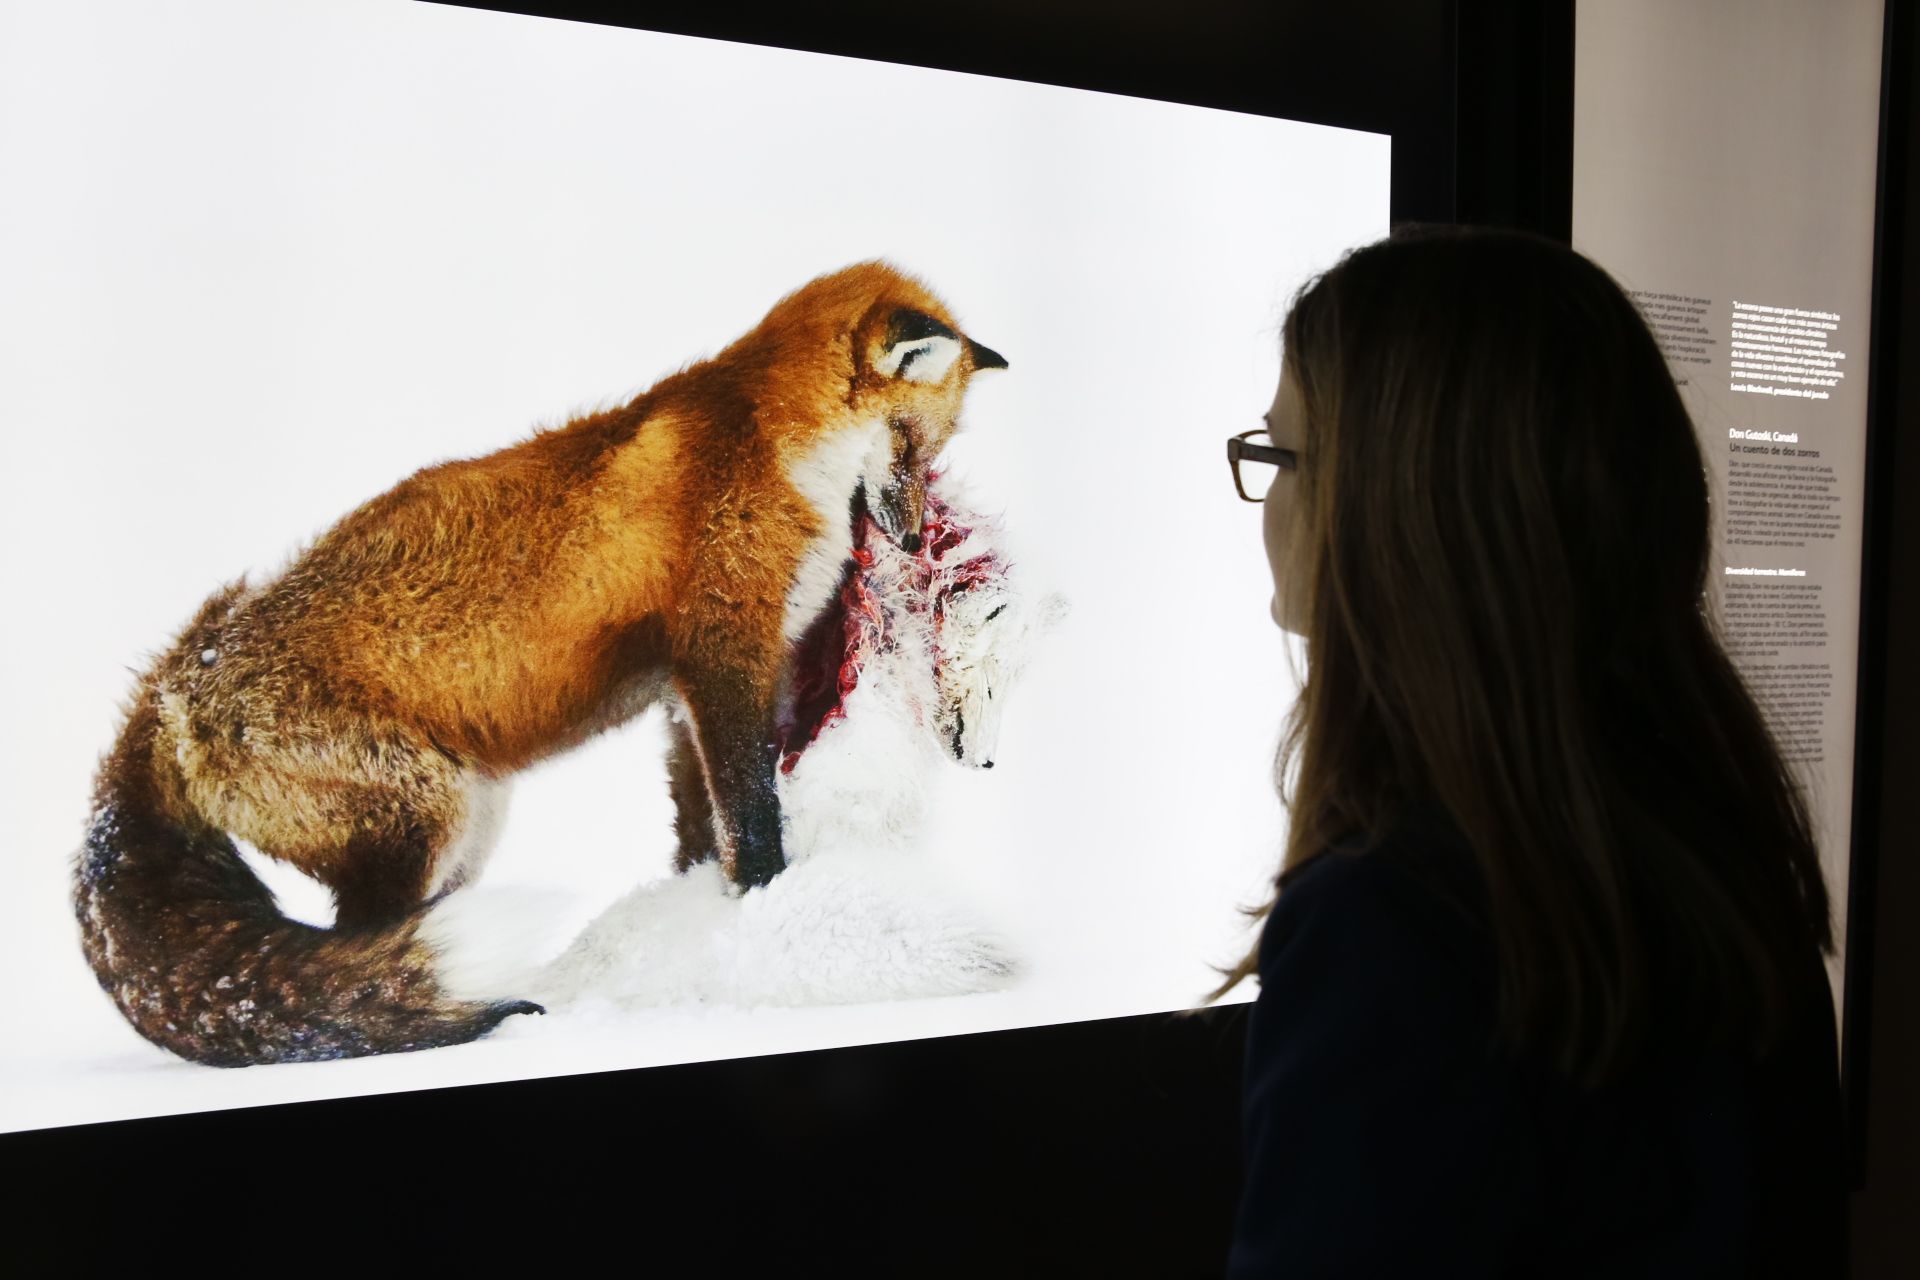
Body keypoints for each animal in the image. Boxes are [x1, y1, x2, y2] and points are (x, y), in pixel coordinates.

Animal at [71, 257, 1006, 1059]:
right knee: (354, 967)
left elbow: (698, 827)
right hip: (424, 818)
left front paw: (698, 916)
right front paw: (767, 909)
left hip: (466, 827)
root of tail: (173, 689)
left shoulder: (687, 694)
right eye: (913, 444)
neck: (770, 440)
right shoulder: (723, 657)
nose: (913, 539)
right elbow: (749, 816)